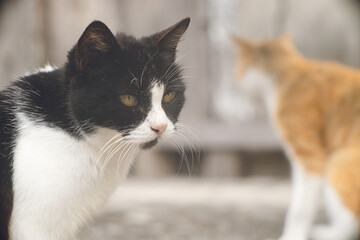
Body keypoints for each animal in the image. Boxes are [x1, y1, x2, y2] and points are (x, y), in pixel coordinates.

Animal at [235, 35, 360, 240]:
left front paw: (292, 235)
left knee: (350, 222)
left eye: (240, 68)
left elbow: (300, 207)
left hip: (338, 164)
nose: (237, 79)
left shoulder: (309, 156)